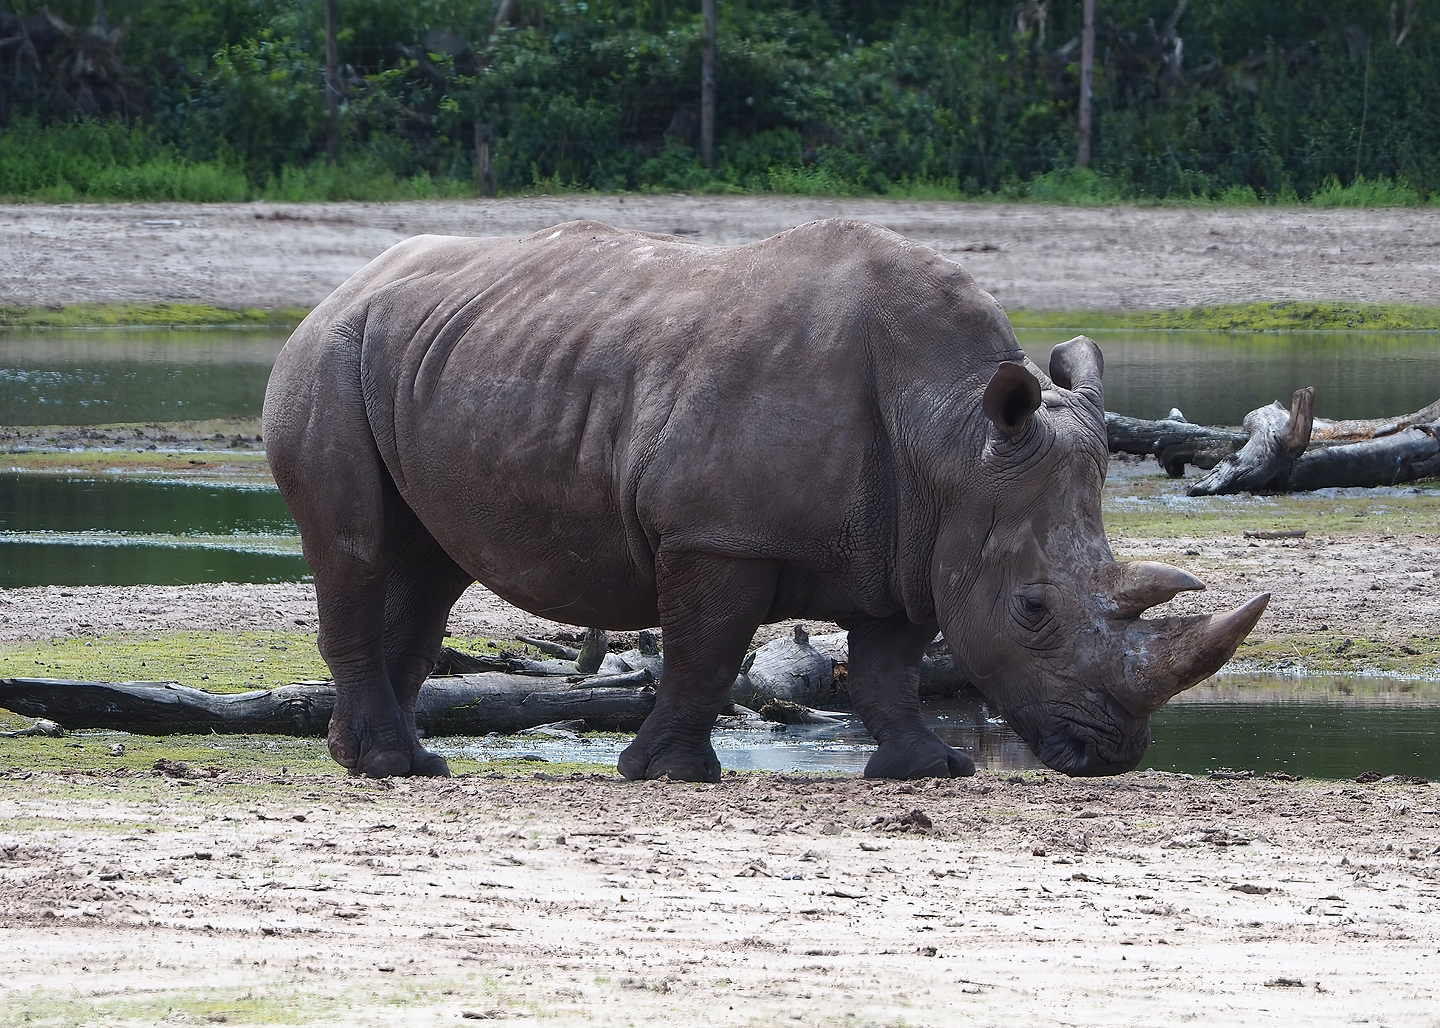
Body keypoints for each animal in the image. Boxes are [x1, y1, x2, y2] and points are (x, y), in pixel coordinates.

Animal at [262, 219, 1268, 781]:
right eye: (1032, 609)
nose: (1114, 753)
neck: (950, 432)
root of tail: (338, 290)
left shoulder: (916, 538)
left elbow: (889, 664)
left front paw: (926, 772)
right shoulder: (718, 533)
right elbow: (708, 653)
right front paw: (668, 775)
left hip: (421, 356)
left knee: (427, 568)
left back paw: (396, 764)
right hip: (328, 357)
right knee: (356, 551)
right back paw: (387, 764)